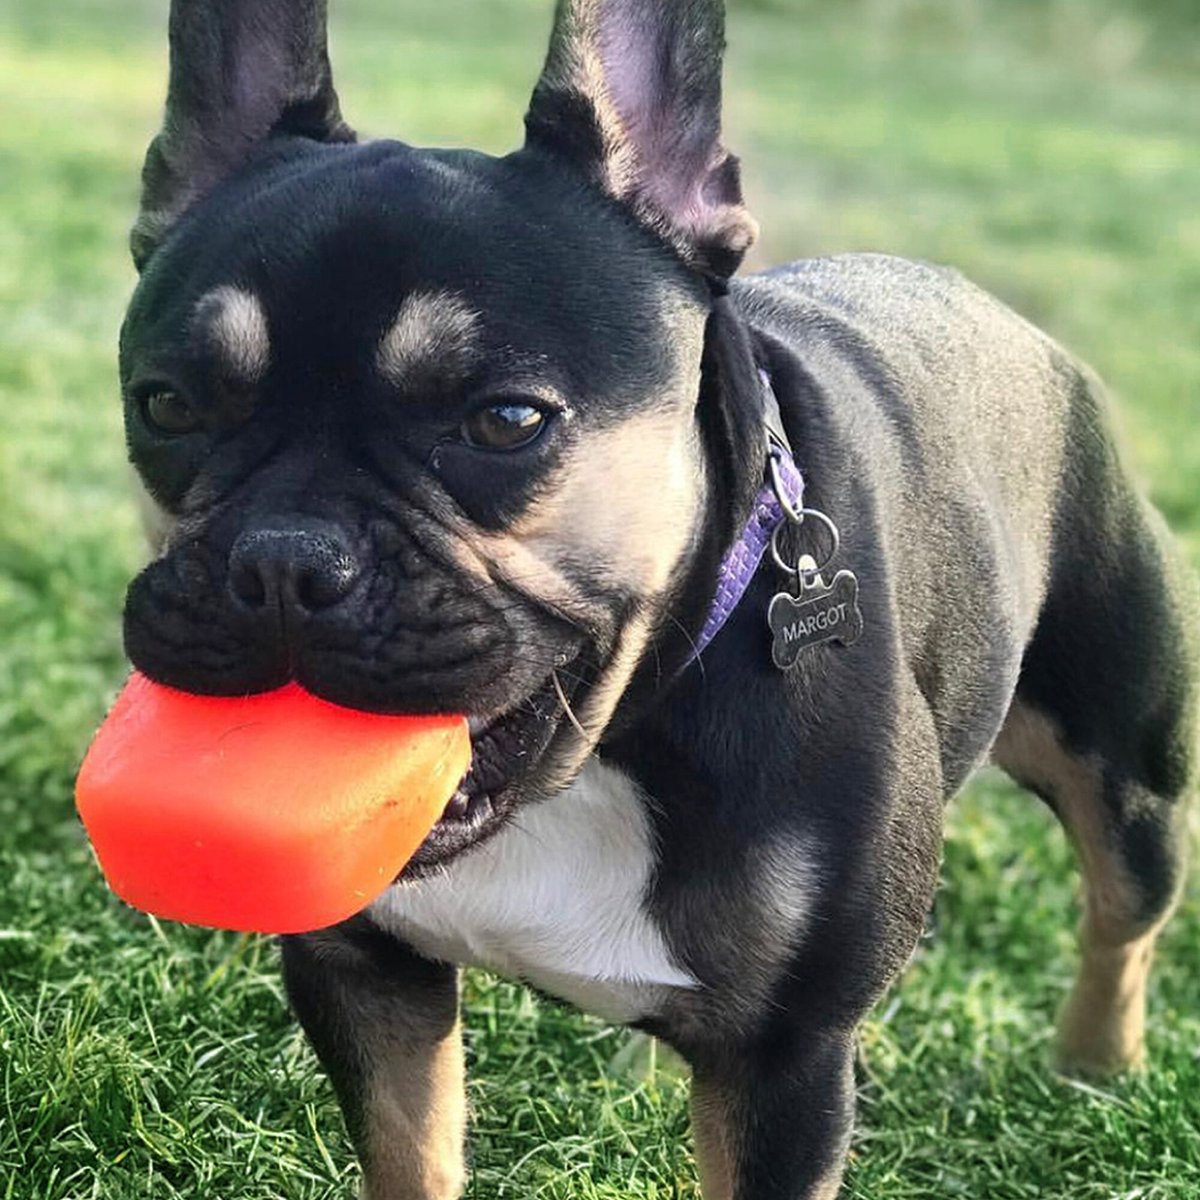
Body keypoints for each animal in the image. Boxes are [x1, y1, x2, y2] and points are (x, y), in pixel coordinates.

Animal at [114, 0, 1200, 1195]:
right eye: (164, 405)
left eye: (506, 421)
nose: (282, 562)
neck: (609, 743)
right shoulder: (365, 968)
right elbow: (409, 1153)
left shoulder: (787, 1062)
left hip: (1123, 766)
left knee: (1124, 912)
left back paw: (1097, 1066)